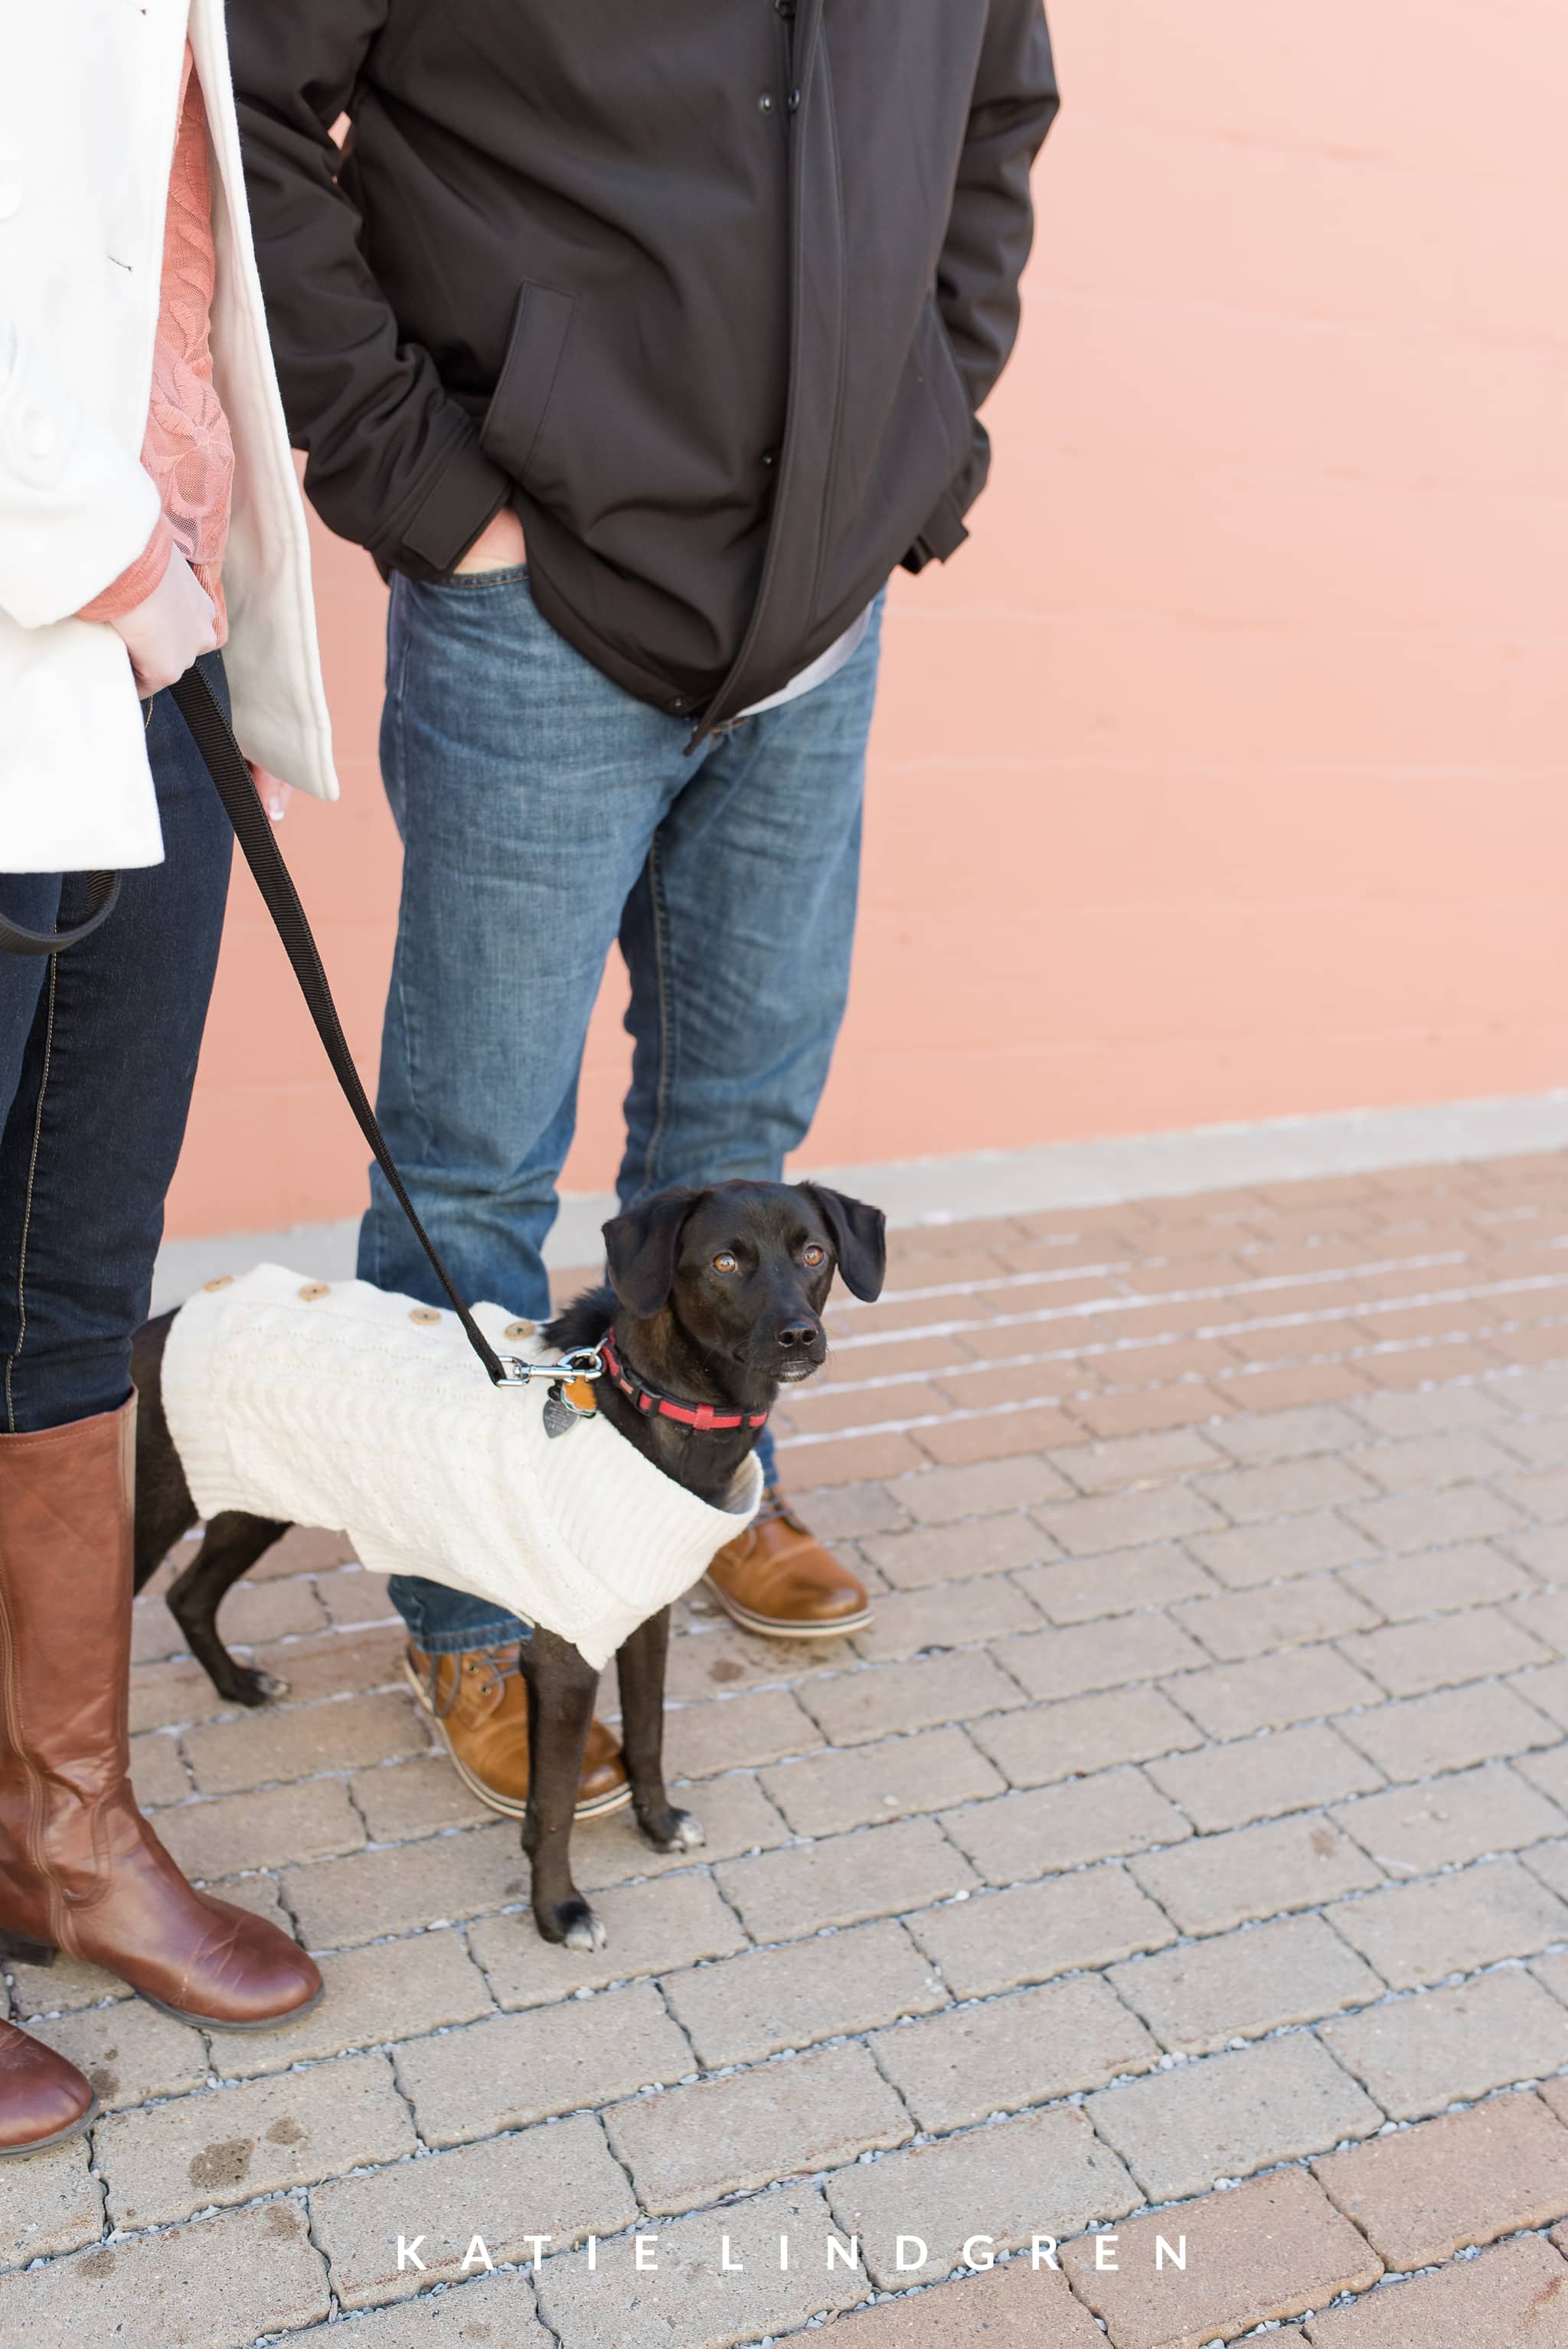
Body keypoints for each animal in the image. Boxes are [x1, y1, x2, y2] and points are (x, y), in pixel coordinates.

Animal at [128, 1184, 887, 1954]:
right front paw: (559, 1911)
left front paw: (657, 1823)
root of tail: (160, 1322)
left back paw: (238, 1685)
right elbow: (552, 1805)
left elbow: (648, 1734)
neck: (652, 1405)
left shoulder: (646, 1615)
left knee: (188, 1596)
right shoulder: (564, 1658)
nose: (799, 1335)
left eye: (814, 1254)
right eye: (725, 1262)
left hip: (254, 1503)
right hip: (153, 1515)